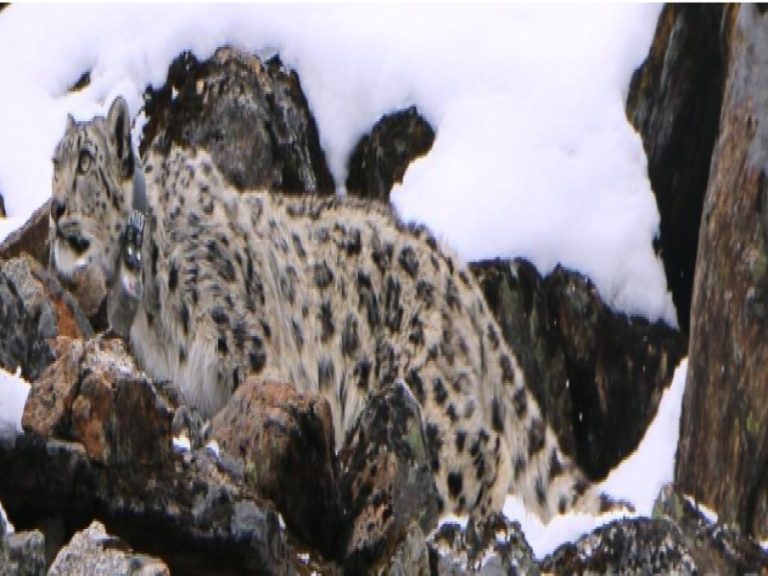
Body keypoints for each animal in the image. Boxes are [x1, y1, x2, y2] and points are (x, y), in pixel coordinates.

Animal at [50, 96, 621, 524]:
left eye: (85, 162)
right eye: (53, 163)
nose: (54, 209)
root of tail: (453, 264)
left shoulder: (244, 347)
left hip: (420, 386)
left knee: (484, 447)